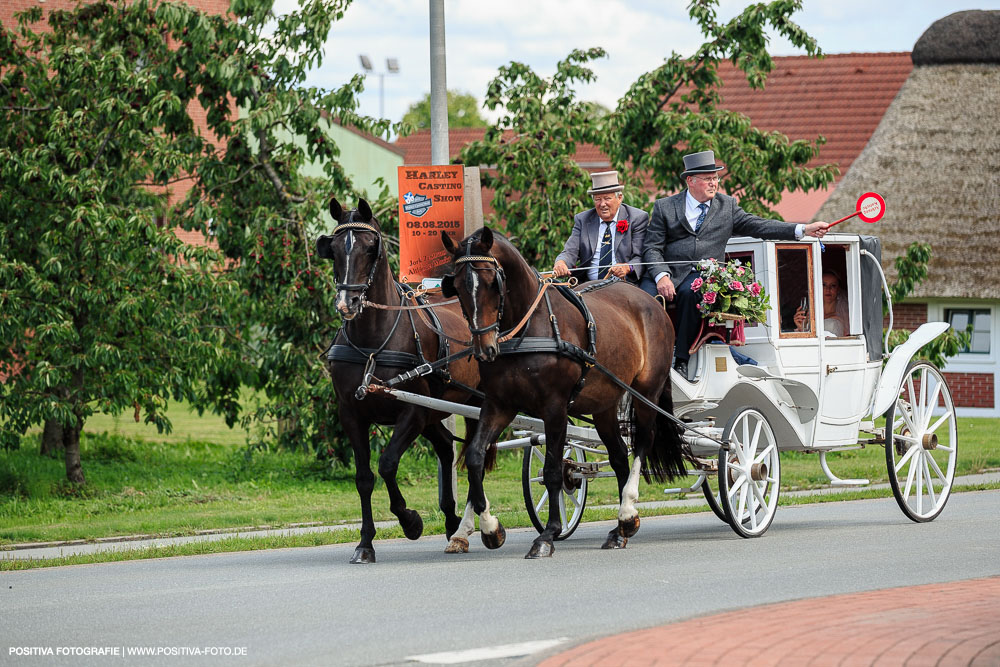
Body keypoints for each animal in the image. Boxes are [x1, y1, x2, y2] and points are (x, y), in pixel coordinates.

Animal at [318, 200, 490, 564]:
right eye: (334, 249)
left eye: (370, 248)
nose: (347, 304)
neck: (374, 340)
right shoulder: (351, 414)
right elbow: (364, 478)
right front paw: (365, 543)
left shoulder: (411, 413)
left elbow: (387, 464)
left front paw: (410, 521)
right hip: (436, 410)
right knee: (446, 446)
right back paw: (452, 520)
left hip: (478, 403)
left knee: (476, 455)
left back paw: (471, 523)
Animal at [446, 228, 688, 560]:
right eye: (456, 286)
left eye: (492, 281)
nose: (485, 350)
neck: (527, 329)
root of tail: (653, 302)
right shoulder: (499, 405)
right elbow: (474, 457)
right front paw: (490, 528)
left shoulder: (555, 408)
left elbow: (552, 471)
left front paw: (547, 535)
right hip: (604, 405)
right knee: (618, 456)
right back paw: (621, 529)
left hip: (646, 393)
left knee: (642, 443)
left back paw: (627, 512)